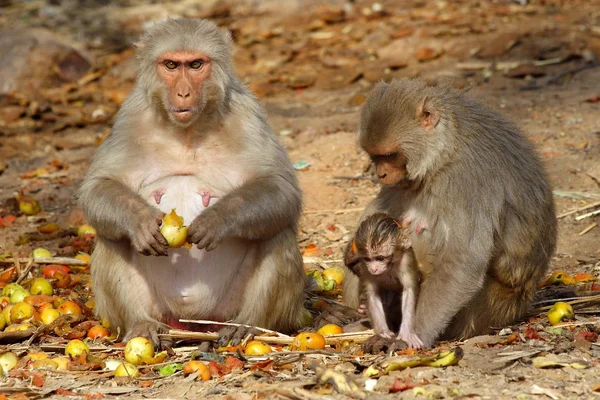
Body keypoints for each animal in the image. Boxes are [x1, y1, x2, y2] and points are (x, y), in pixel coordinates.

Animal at [77, 18, 308, 344]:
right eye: (171, 65)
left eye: (196, 64)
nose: (184, 93)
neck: (187, 130)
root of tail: (191, 323)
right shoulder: (130, 116)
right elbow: (98, 187)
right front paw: (140, 222)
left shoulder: (247, 114)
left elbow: (281, 189)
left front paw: (217, 219)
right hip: (160, 310)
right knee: (111, 236)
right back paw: (141, 323)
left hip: (226, 309)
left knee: (277, 233)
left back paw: (250, 325)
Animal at [344, 212, 424, 346]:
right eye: (368, 259)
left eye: (380, 258)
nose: (374, 269)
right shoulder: (364, 267)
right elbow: (372, 294)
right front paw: (383, 331)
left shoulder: (405, 260)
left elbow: (409, 290)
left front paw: (406, 333)